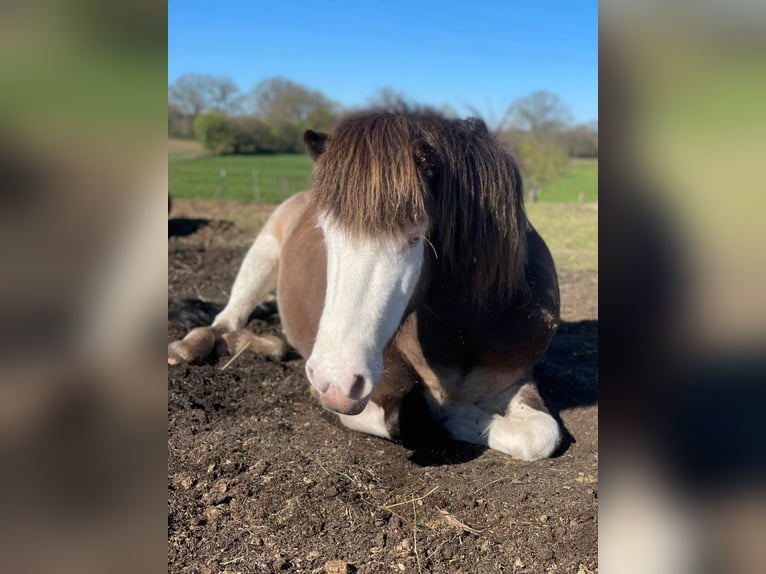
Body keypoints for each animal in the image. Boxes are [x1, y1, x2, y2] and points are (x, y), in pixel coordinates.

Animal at [168, 111, 562, 461]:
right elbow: (412, 418)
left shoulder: (515, 378)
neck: (463, 331)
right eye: (325, 234)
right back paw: (190, 347)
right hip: (261, 255)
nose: (332, 381)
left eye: (415, 238)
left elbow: (540, 434)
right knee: (225, 320)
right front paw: (450, 412)